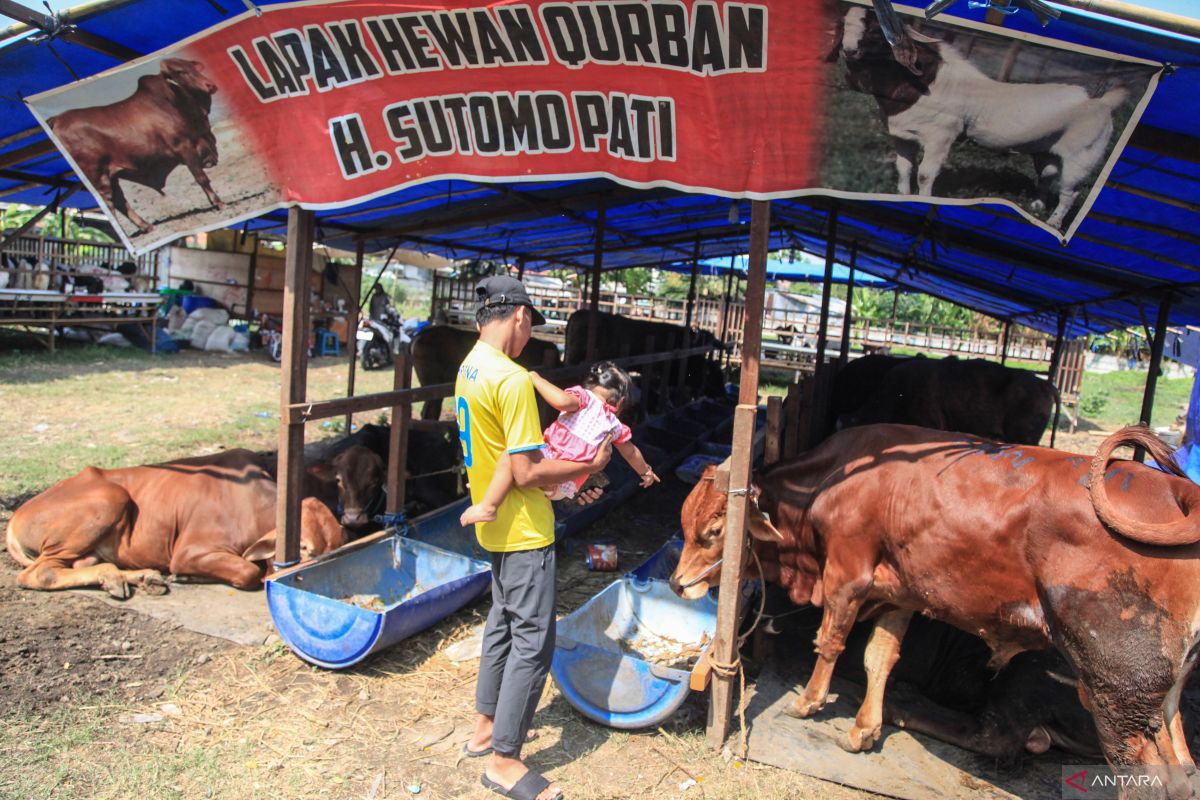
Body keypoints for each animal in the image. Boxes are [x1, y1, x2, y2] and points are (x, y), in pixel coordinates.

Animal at [9, 450, 345, 594]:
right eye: (303, 548)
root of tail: (15, 516)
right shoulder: (189, 552)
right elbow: (248, 571)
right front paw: (187, 576)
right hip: (108, 498)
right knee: (41, 574)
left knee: (85, 565)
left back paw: (137, 578)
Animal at [48, 57, 225, 232]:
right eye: (180, 72)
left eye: (193, 67)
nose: (210, 85)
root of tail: (57, 119)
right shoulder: (184, 147)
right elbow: (201, 177)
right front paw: (219, 203)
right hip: (98, 177)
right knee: (110, 204)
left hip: (111, 176)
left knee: (120, 201)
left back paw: (146, 226)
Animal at [672, 424, 1200, 796]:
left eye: (713, 532)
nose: (677, 584)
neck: (829, 482)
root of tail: (1181, 494)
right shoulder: (900, 594)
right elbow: (879, 658)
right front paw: (864, 729)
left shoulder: (847, 575)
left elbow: (832, 642)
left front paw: (808, 703)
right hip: (1161, 697)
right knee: (1182, 772)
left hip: (1115, 686)